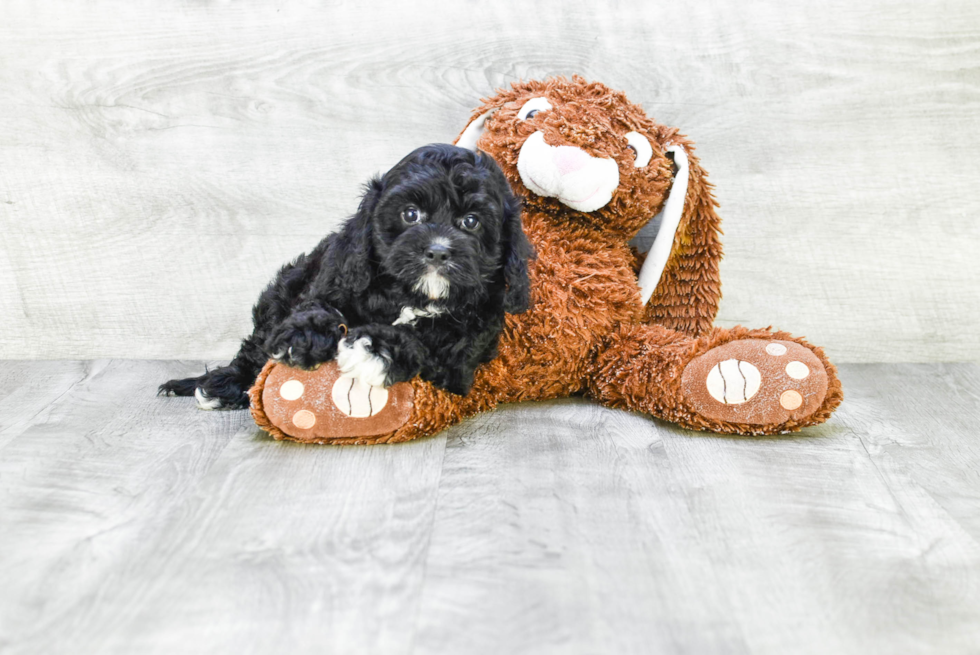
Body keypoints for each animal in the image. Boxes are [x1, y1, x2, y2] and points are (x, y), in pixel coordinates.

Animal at [161, 145, 532, 410]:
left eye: (471, 222)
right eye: (410, 214)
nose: (438, 252)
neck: (414, 295)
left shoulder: (460, 361)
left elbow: (426, 344)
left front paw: (373, 348)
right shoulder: (335, 279)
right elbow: (318, 308)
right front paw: (304, 336)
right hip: (284, 289)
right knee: (253, 348)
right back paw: (219, 386)